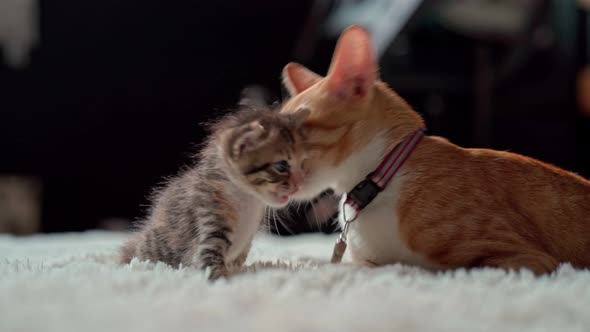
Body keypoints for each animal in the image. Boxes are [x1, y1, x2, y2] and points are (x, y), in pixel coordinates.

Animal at [122, 106, 312, 280]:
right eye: (281, 166)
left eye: (302, 163)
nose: (300, 184)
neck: (248, 198)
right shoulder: (209, 217)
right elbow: (210, 259)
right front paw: (222, 280)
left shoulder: (245, 242)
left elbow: (238, 259)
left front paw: (238, 272)